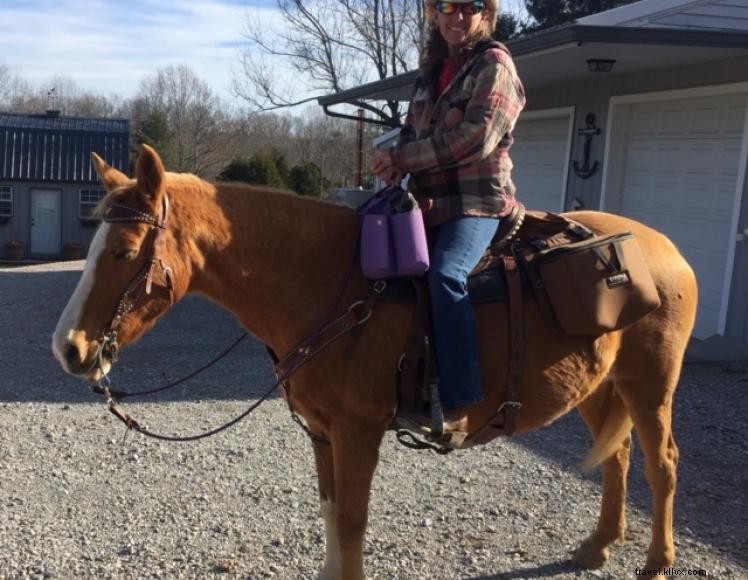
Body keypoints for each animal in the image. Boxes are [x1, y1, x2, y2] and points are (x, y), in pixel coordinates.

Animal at [54, 144, 700, 576]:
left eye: (124, 251)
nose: (69, 349)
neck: (334, 284)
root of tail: (666, 248)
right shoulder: (322, 432)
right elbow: (330, 510)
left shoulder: (358, 431)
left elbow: (352, 519)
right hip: (599, 386)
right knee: (617, 457)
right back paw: (599, 544)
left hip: (650, 384)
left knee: (662, 463)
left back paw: (656, 560)